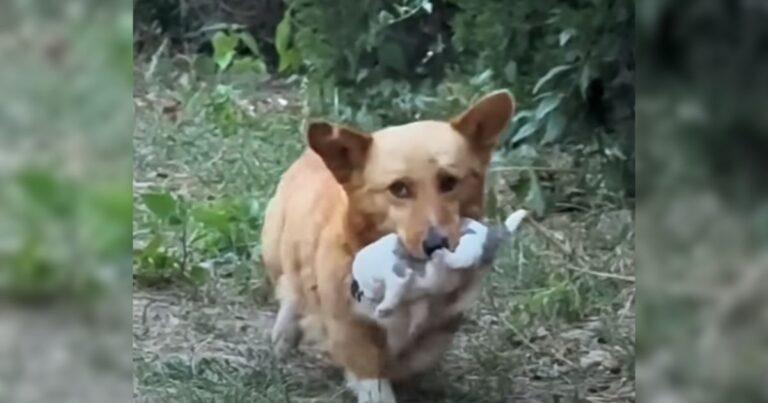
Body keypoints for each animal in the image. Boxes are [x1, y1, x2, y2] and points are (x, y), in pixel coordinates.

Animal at [260, 91, 516, 403]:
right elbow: (371, 374)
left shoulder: (442, 324)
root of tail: (311, 155)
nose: (436, 244)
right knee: (290, 292)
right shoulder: (350, 326)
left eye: (449, 182)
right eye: (399, 189)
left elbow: (418, 356)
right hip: (278, 254)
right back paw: (283, 338)